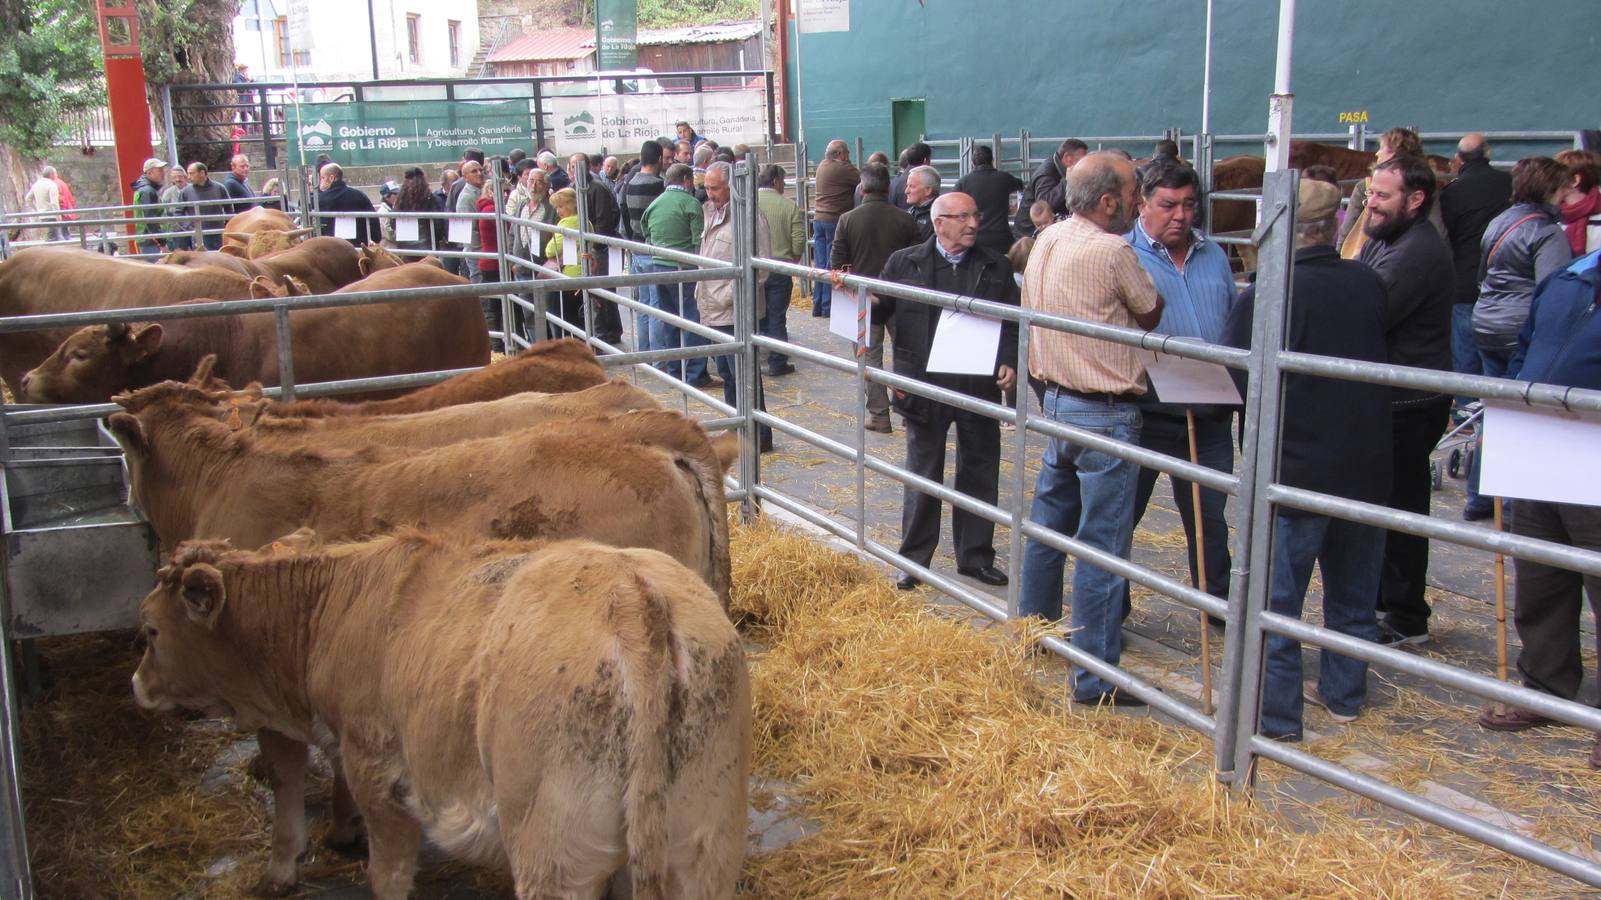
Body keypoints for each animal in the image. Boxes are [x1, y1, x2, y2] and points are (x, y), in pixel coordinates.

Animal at [132, 528, 749, 890]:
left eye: (151, 630)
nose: (137, 684)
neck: (334, 606)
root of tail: (629, 594)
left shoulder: (375, 770)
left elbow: (387, 870)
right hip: (704, 844)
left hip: (553, 853)